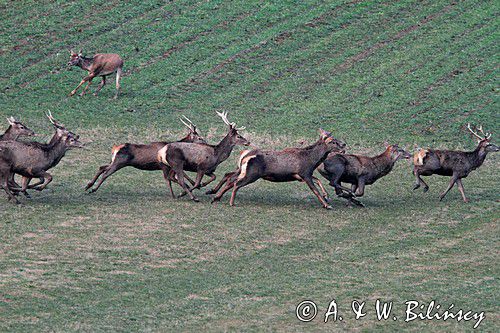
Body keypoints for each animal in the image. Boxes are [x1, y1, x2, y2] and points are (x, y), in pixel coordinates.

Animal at [210, 128, 344, 209]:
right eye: (332, 141)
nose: (344, 145)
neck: (312, 160)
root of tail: (245, 156)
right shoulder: (304, 173)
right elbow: (315, 190)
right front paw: (326, 204)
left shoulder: (303, 175)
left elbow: (318, 180)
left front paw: (326, 195)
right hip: (252, 174)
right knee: (236, 183)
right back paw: (231, 202)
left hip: (243, 171)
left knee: (230, 179)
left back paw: (216, 197)